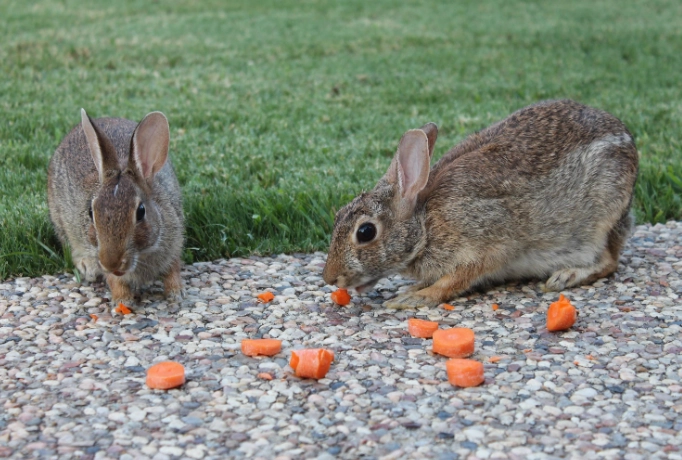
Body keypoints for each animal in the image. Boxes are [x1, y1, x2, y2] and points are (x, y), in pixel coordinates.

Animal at [47, 109, 185, 305]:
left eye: (141, 212)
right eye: (91, 212)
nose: (111, 263)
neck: (141, 254)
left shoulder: (174, 243)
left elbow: (173, 269)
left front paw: (176, 294)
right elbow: (114, 281)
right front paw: (123, 301)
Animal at [323, 99, 639, 309]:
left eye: (366, 232)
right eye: (338, 216)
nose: (330, 278)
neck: (425, 224)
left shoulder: (487, 242)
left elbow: (456, 279)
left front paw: (415, 297)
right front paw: (415, 287)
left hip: (603, 216)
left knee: (609, 261)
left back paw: (567, 276)